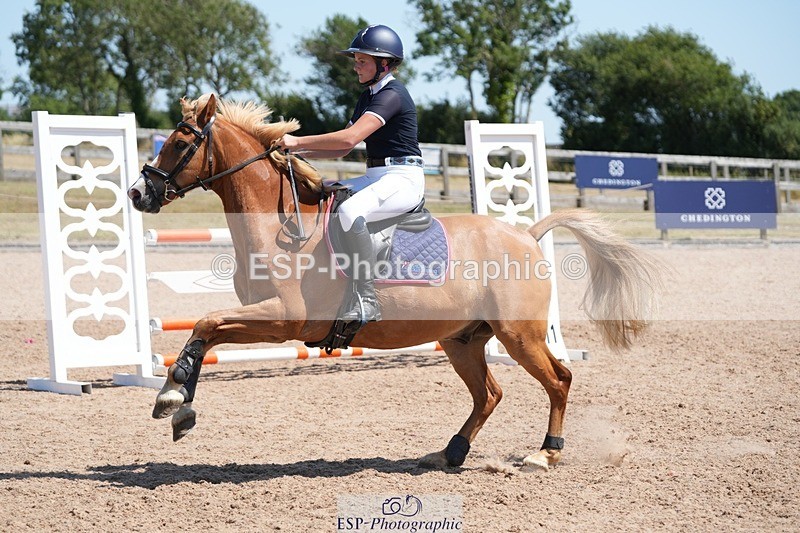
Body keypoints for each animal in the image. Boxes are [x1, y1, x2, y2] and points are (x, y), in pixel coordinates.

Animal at [128, 93, 662, 470]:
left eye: (180, 144)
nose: (137, 193)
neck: (278, 224)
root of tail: (525, 234)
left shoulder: (285, 320)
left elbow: (206, 323)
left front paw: (172, 397)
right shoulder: (267, 319)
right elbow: (207, 329)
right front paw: (178, 403)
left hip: (518, 334)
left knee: (559, 379)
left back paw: (545, 453)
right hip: (463, 340)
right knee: (489, 394)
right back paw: (450, 452)